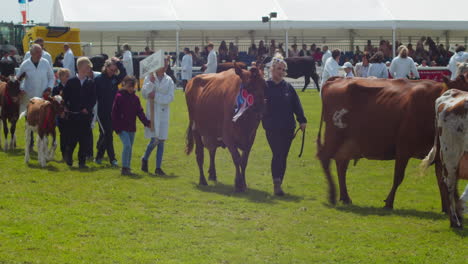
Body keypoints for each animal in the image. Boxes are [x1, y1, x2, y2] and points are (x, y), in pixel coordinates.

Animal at [185, 64, 266, 192]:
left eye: (264, 85)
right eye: (248, 86)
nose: (261, 108)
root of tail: (192, 80)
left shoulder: (250, 138)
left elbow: (244, 161)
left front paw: (243, 183)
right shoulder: (228, 136)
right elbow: (237, 158)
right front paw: (238, 183)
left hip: (211, 133)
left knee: (212, 151)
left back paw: (212, 174)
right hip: (196, 128)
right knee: (200, 155)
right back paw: (202, 180)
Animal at [314, 76, 468, 210]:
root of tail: (337, 79)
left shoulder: (440, 156)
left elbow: (442, 181)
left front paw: (446, 208)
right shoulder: (403, 149)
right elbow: (398, 177)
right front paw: (389, 202)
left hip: (347, 143)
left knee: (341, 165)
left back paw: (345, 197)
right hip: (334, 137)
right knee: (325, 158)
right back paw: (333, 195)